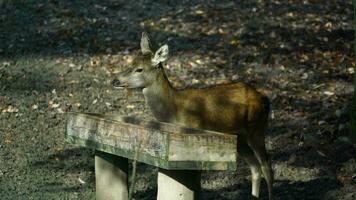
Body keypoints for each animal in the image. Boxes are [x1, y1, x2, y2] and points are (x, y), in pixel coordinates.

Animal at [112, 32, 274, 199]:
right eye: (130, 63)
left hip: (257, 129)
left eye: (139, 69)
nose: (114, 80)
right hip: (240, 138)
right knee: (255, 167)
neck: (174, 111)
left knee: (267, 166)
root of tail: (263, 98)